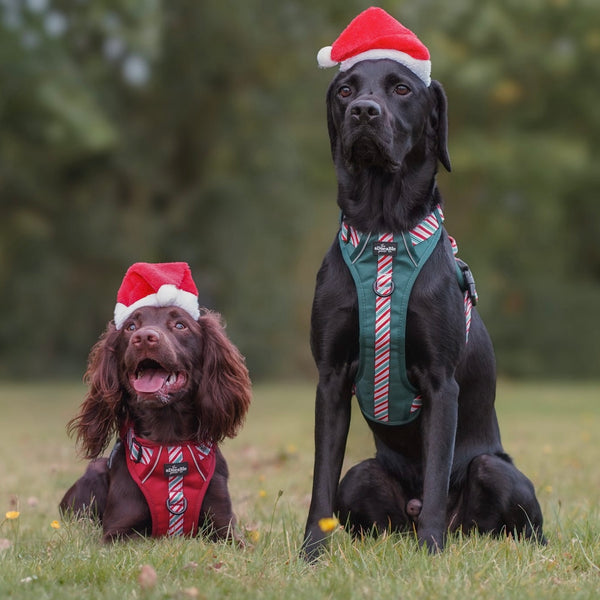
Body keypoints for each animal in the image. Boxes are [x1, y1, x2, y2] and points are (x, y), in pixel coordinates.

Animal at [302, 58, 548, 560]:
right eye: (344, 90)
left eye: (401, 89)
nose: (363, 112)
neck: (382, 236)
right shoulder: (331, 379)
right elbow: (321, 482)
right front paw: (311, 553)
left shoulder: (440, 382)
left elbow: (435, 475)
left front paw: (431, 552)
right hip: (362, 477)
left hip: (496, 471)